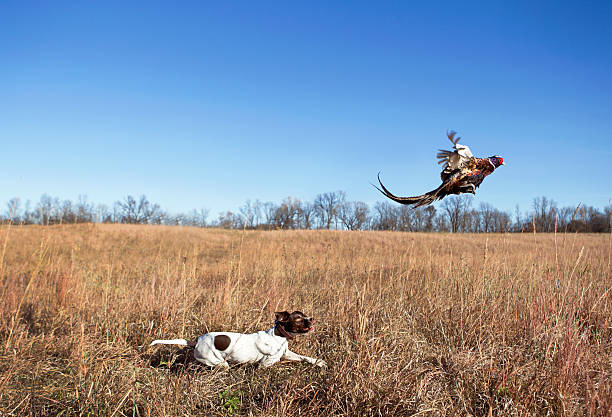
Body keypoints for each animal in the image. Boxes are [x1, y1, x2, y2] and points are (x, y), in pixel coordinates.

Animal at [151, 308, 328, 368]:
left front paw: (318, 362)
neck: (279, 336)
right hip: (219, 363)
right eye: (298, 319)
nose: (312, 318)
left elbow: (305, 357)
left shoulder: (286, 353)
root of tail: (197, 340)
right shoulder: (266, 363)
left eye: (304, 314)